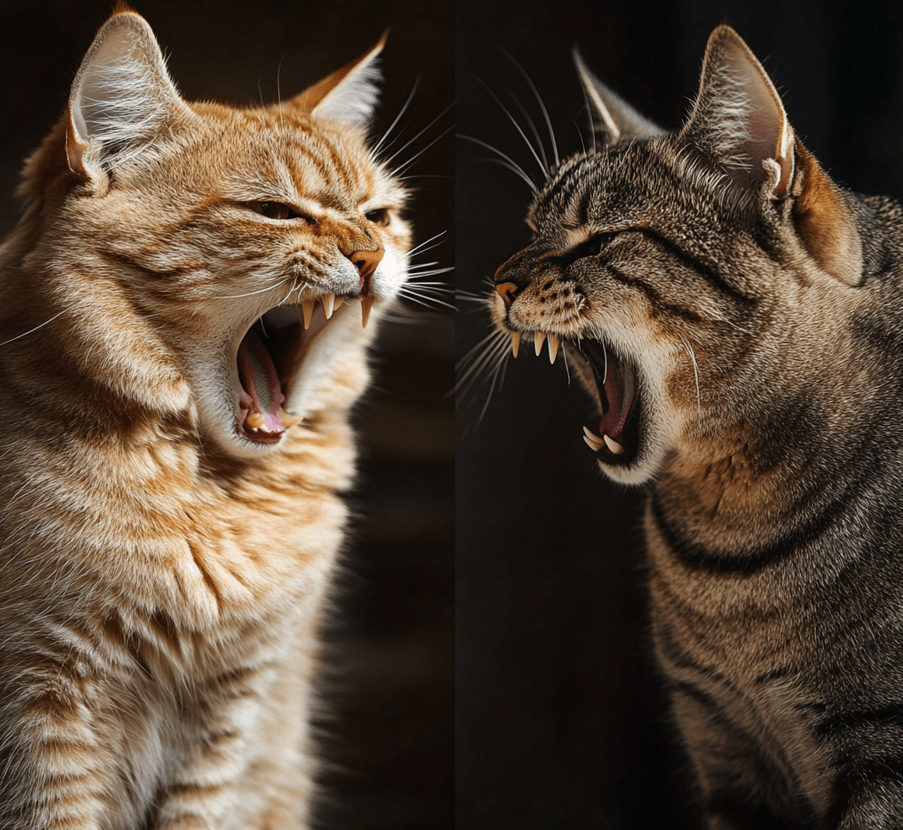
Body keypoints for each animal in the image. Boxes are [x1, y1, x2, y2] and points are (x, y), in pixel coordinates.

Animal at [0, 8, 414, 830]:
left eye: (378, 216)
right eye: (276, 212)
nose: (371, 256)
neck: (216, 493)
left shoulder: (229, 718)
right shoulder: (44, 707)